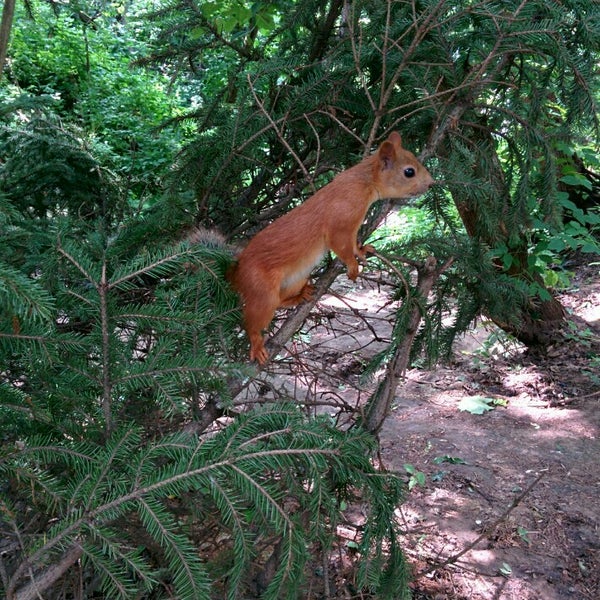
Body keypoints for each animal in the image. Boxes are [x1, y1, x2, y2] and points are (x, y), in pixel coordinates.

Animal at [229, 131, 432, 364]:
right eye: (409, 172)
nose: (432, 183)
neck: (363, 182)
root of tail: (238, 273)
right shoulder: (342, 220)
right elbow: (341, 245)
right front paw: (352, 265)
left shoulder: (352, 228)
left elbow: (353, 244)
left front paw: (362, 251)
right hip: (261, 290)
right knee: (254, 319)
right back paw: (256, 343)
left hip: (296, 279)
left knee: (281, 301)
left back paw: (300, 296)